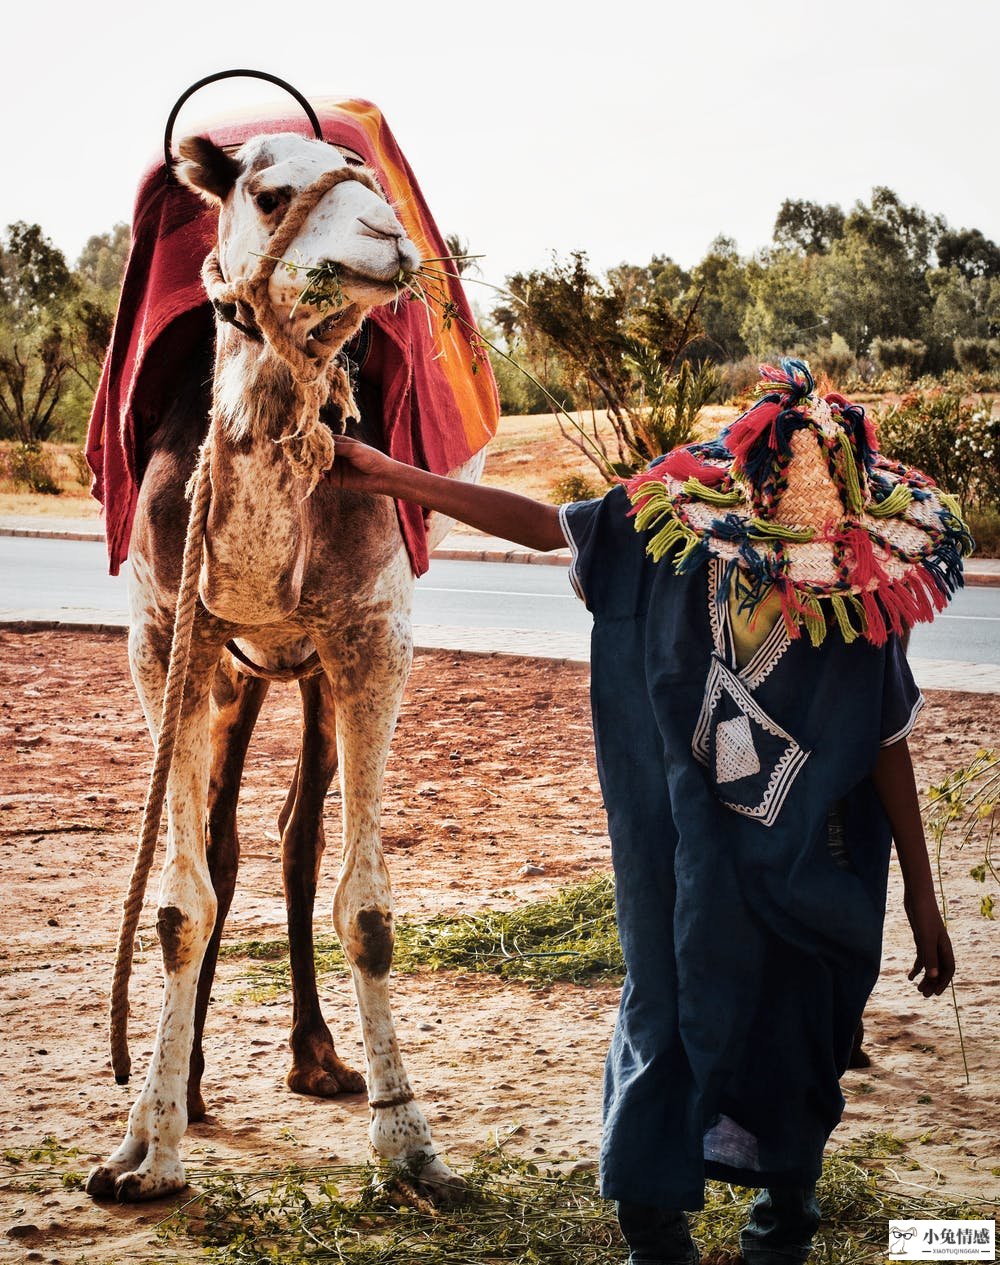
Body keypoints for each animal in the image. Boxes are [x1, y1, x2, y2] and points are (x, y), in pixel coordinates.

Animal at [84, 128, 477, 1204]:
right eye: (268, 194)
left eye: (376, 185)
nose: (389, 241)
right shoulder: (165, 636)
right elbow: (181, 902)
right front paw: (145, 1146)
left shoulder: (371, 638)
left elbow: (368, 907)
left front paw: (409, 1138)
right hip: (235, 673)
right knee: (222, 843)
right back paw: (196, 1082)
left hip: (302, 672)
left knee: (297, 832)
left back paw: (318, 1056)